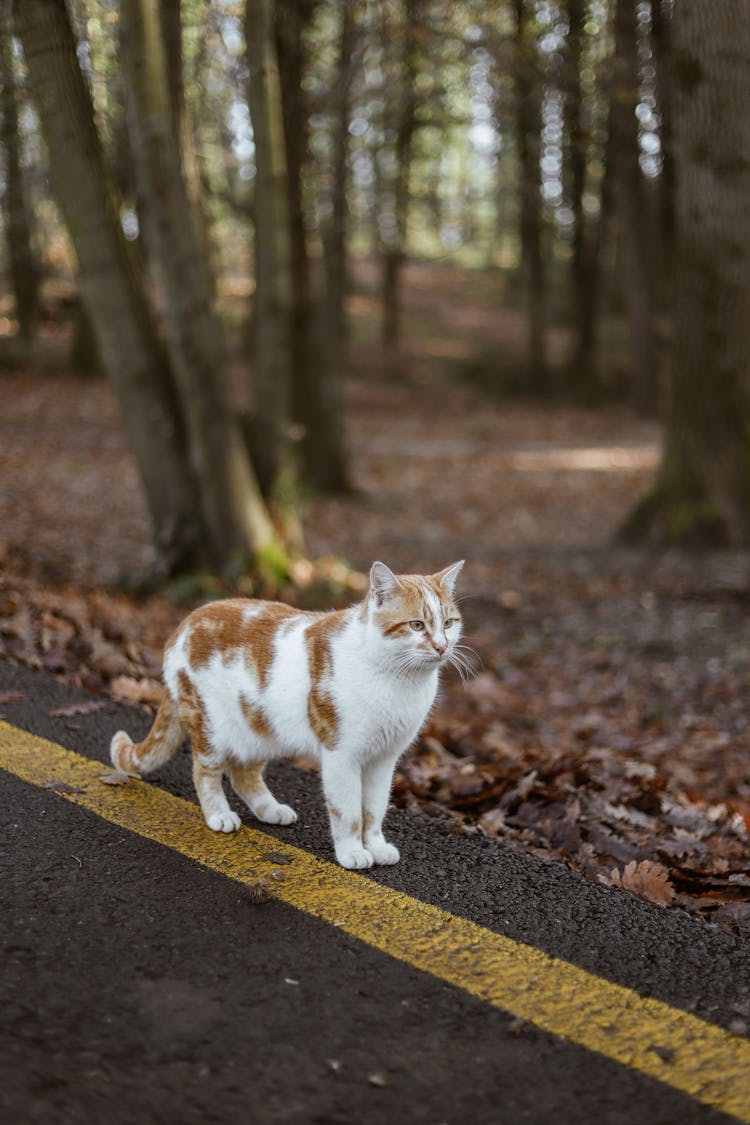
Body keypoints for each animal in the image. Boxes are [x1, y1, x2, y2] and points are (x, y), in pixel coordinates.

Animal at [110, 562, 463, 868]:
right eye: (416, 625)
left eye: (448, 623)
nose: (441, 647)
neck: (399, 681)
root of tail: (185, 622)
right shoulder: (342, 755)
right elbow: (348, 812)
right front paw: (353, 852)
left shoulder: (384, 758)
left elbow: (374, 810)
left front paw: (375, 846)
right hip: (210, 725)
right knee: (205, 772)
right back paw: (218, 815)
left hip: (260, 728)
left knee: (243, 774)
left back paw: (270, 809)